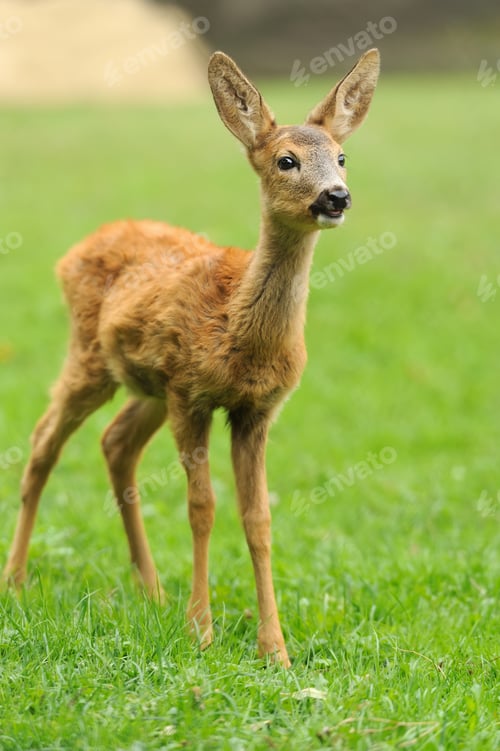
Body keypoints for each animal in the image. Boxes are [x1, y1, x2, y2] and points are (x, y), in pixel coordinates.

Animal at [2, 49, 379, 667]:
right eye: (287, 160)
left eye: (343, 157)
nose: (337, 197)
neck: (240, 329)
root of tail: (78, 247)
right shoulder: (191, 394)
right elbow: (201, 507)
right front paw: (201, 631)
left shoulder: (256, 410)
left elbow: (259, 518)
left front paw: (275, 649)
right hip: (92, 359)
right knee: (42, 441)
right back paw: (15, 578)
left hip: (147, 384)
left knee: (115, 443)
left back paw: (151, 589)